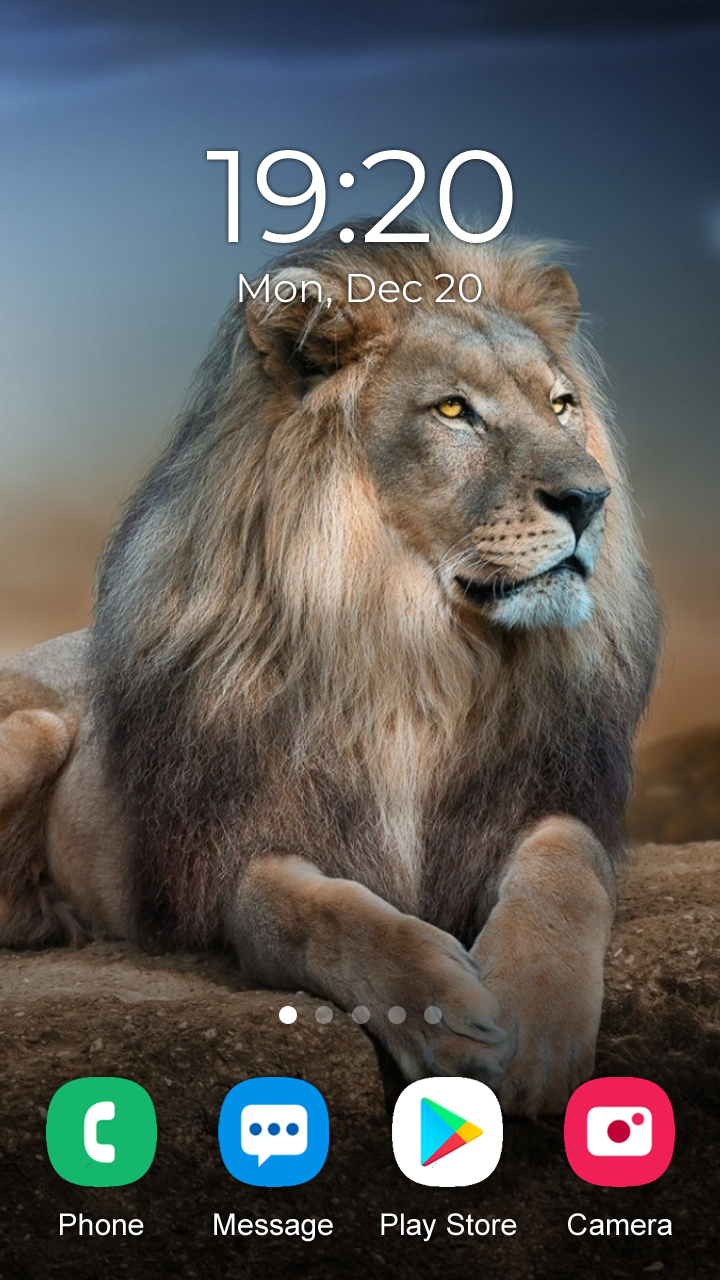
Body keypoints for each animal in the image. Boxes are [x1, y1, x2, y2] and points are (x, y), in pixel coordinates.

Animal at [0, 223, 661, 1115]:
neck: (420, 654)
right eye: (454, 410)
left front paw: (538, 1023)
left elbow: (567, 865)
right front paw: (441, 1013)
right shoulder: (238, 847)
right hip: (34, 727)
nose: (590, 500)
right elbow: (314, 912)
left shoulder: (541, 796)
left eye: (562, 405)